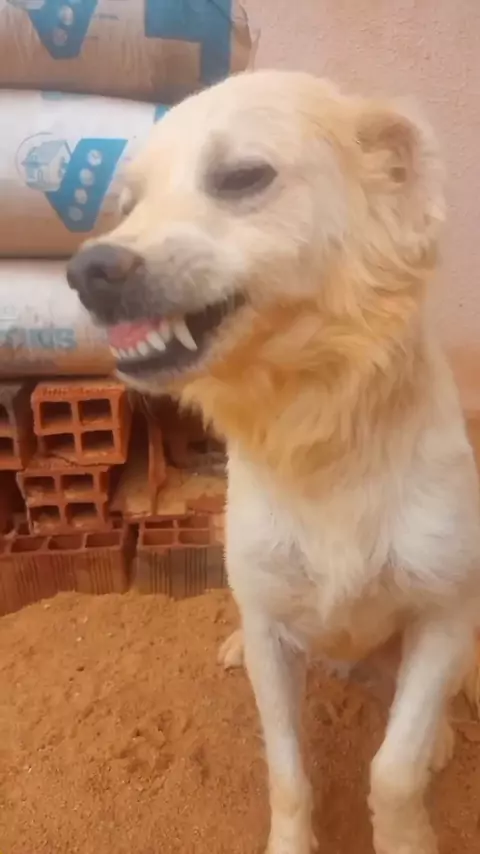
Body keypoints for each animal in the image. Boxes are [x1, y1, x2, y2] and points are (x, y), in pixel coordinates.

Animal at [67, 70, 480, 854]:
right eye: (129, 206)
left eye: (241, 177)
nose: (88, 269)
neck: (319, 437)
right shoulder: (271, 632)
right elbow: (288, 775)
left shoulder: (443, 615)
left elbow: (395, 770)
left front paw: (408, 824)